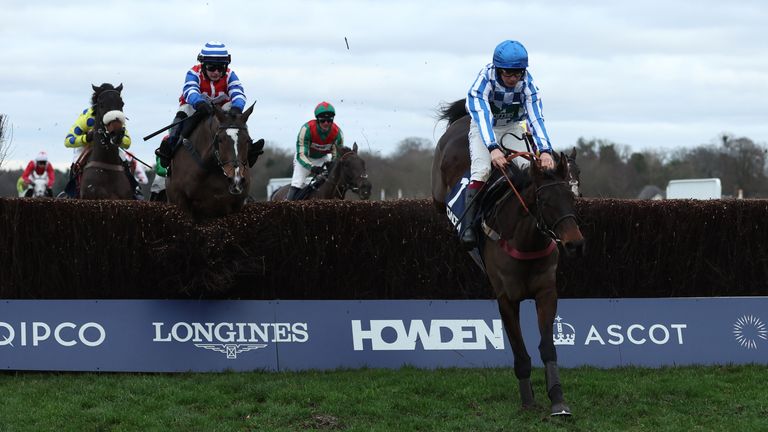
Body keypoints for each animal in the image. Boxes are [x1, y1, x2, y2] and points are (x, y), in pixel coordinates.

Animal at [428, 98, 584, 416]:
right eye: (545, 200)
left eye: (571, 198)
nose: (575, 244)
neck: (524, 240)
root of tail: (464, 119)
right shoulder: (506, 299)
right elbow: (520, 352)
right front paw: (528, 400)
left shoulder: (546, 292)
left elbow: (547, 347)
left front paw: (558, 399)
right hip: (442, 187)